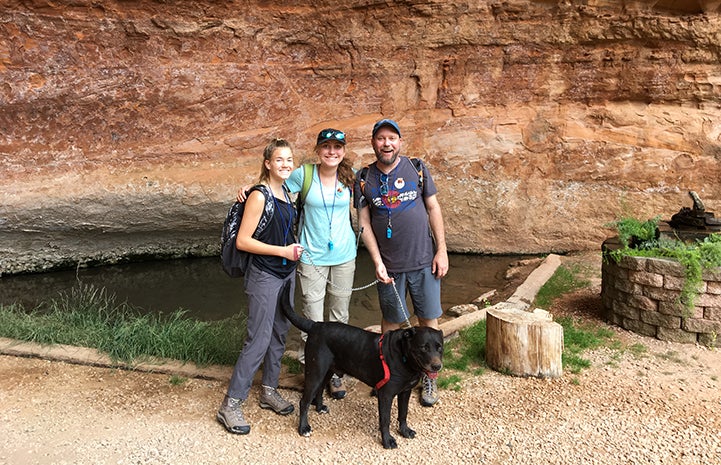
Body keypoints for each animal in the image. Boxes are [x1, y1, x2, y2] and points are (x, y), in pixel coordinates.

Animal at [278, 278, 442, 448]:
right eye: (424, 347)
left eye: (439, 347)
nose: (437, 366)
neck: (404, 358)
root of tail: (315, 324)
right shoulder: (386, 394)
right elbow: (385, 420)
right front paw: (387, 440)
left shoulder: (405, 391)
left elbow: (403, 413)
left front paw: (405, 431)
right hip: (315, 372)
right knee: (304, 401)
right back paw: (304, 428)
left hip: (326, 371)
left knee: (320, 390)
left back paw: (320, 408)